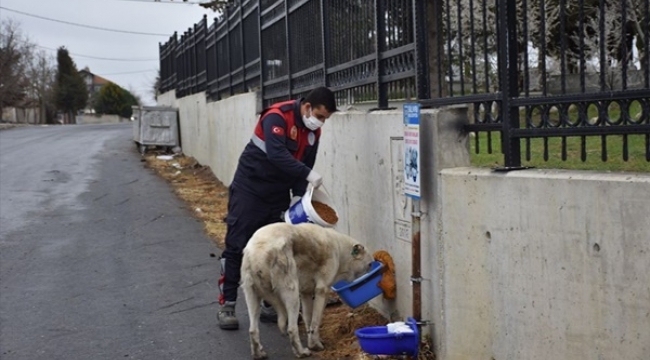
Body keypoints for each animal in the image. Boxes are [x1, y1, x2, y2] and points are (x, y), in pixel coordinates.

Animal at [240, 222, 372, 358]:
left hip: (252, 297)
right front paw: (315, 345)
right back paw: (301, 352)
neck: (339, 249)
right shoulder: (322, 291)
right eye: (370, 265)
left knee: (253, 330)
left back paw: (258, 353)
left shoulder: (306, 294)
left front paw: (312, 341)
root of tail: (259, 251)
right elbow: (315, 322)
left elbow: (308, 319)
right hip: (292, 297)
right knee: (292, 329)